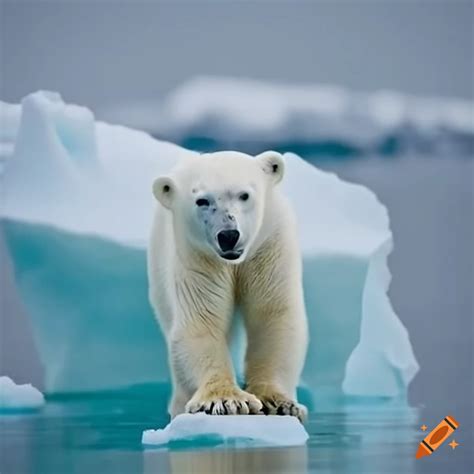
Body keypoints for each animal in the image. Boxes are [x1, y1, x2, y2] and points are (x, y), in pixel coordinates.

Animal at [148, 150, 312, 420]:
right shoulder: (196, 254)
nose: (228, 235)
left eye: (244, 195)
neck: (235, 261)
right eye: (201, 200)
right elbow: (202, 321)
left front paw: (278, 402)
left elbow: (272, 315)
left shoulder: (269, 242)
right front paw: (227, 400)